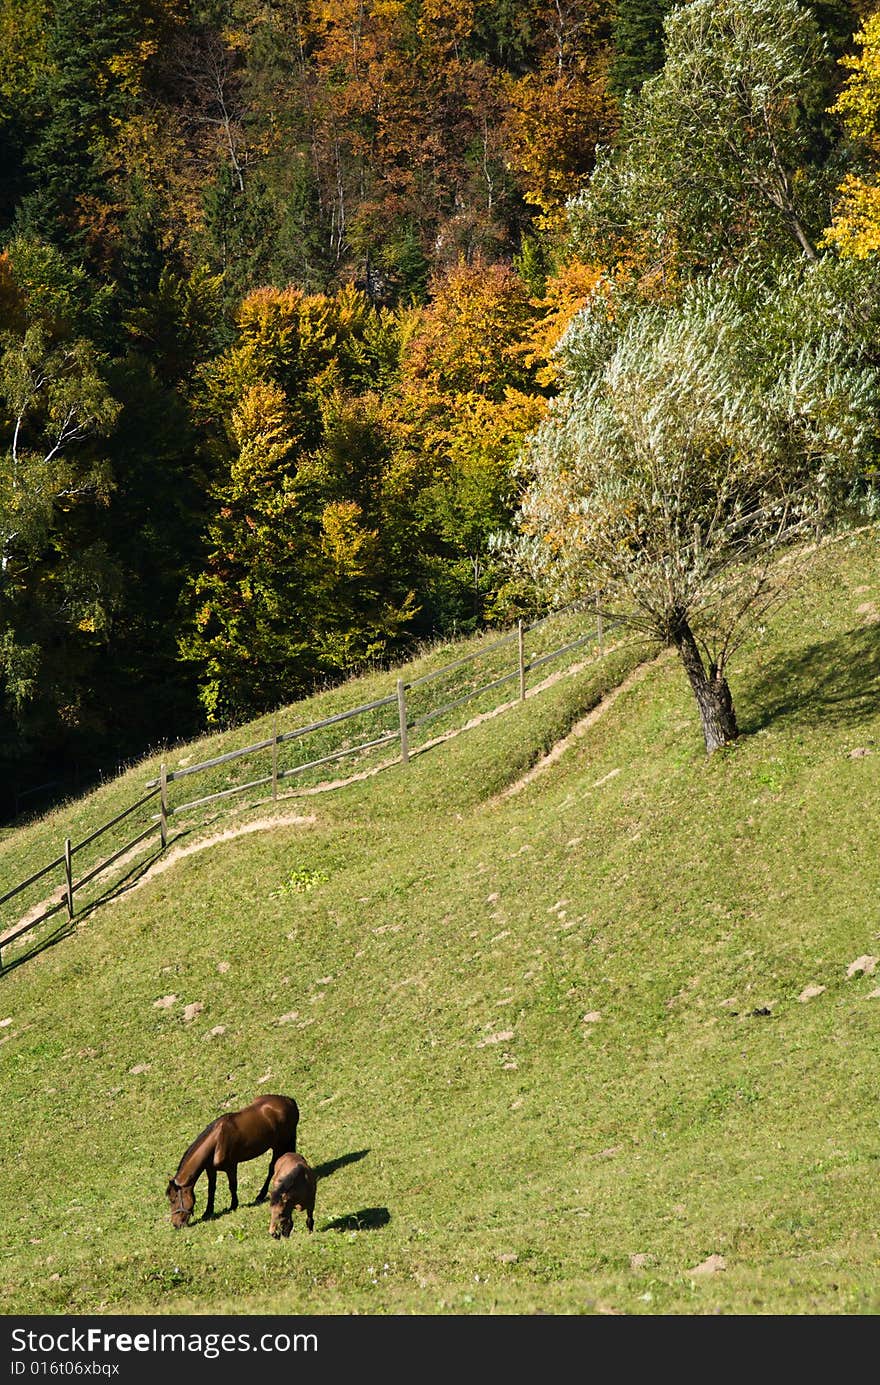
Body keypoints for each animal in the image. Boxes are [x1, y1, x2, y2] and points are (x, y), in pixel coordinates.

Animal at [164, 1085, 299, 1229]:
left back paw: (262, 1195)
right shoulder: (210, 1170)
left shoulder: (231, 1166)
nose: (176, 1224)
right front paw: (208, 1212)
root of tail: (289, 1101)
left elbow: (232, 1185)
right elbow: (211, 1190)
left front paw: (233, 1205)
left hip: (280, 1144)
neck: (216, 1141)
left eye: (173, 1200)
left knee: (273, 1167)